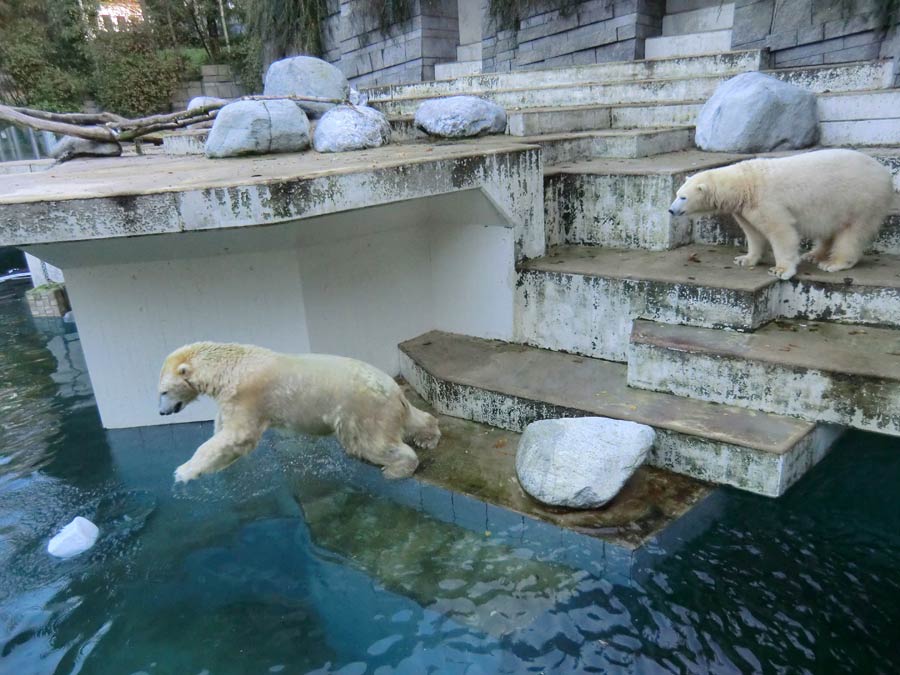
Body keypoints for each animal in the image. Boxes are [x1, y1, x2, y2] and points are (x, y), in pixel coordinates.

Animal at [162, 346, 442, 484]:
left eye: (163, 391)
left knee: (372, 443)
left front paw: (183, 472)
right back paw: (427, 437)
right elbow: (225, 434)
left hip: (360, 411)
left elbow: (237, 437)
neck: (230, 366)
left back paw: (395, 469)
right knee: (413, 419)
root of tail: (393, 388)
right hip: (383, 407)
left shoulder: (246, 397)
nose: (162, 411)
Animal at [668, 149, 892, 282]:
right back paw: (814, 255)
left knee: (853, 233)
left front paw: (780, 270)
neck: (744, 184)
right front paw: (745, 259)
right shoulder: (746, 208)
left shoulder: (767, 202)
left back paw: (833, 263)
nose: (671, 210)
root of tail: (885, 173)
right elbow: (754, 234)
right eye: (677, 194)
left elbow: (781, 232)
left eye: (683, 197)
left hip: (861, 201)